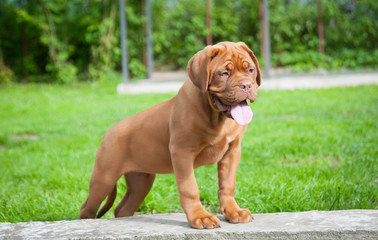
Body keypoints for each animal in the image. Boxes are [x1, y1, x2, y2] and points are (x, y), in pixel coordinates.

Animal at [80, 41, 260, 229]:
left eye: (251, 70)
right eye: (224, 73)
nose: (247, 85)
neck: (217, 117)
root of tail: (108, 131)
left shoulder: (232, 151)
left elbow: (227, 184)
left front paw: (233, 212)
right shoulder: (182, 153)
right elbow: (189, 188)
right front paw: (200, 217)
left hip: (141, 181)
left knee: (122, 208)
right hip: (104, 178)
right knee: (87, 207)